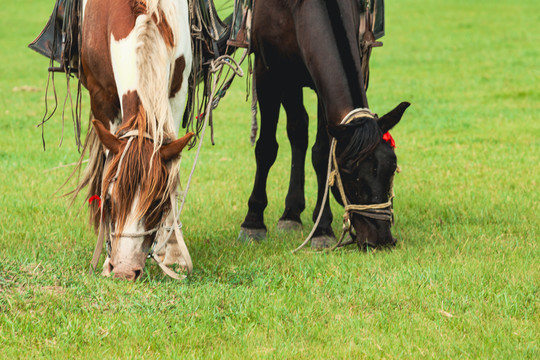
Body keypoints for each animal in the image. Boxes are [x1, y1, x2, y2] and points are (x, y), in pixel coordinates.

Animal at [77, 0, 193, 280]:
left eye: (158, 202)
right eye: (109, 200)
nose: (124, 271)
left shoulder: (177, 91)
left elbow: (172, 167)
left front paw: (175, 253)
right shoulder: (100, 96)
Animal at [240, 0, 410, 248]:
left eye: (392, 167)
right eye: (349, 173)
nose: (382, 238)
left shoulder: (323, 89)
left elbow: (322, 154)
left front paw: (321, 228)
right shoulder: (268, 73)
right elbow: (266, 148)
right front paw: (253, 222)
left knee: (299, 129)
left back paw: (292, 213)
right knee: (297, 129)